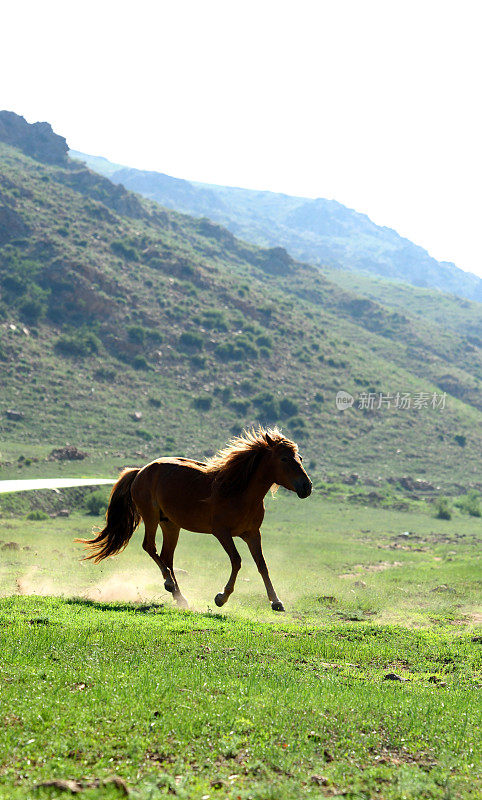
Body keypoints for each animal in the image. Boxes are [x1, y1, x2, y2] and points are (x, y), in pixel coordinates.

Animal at [76, 428, 312, 608]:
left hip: (170, 524)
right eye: (284, 458)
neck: (239, 491)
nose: (307, 487)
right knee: (150, 547)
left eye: (299, 458)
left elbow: (262, 564)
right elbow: (237, 561)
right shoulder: (222, 533)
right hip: (151, 517)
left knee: (166, 557)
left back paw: (180, 596)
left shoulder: (252, 534)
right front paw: (221, 598)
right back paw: (170, 585)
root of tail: (140, 471)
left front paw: (276, 602)